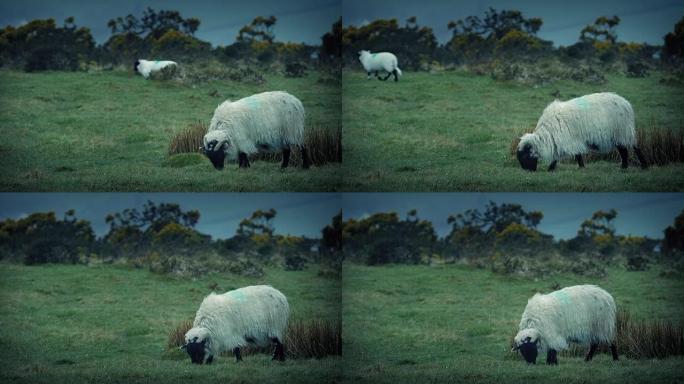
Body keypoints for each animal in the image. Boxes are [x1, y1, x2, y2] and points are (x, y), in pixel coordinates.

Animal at [516, 91, 648, 171]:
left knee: (635, 148)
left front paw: (552, 168)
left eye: (524, 156)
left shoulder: (568, 140)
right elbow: (573, 154)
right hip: (618, 135)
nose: (529, 172)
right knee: (623, 150)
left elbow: (570, 155)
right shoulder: (565, 140)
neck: (547, 134)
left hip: (624, 131)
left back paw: (644, 166)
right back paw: (623, 167)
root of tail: (626, 103)